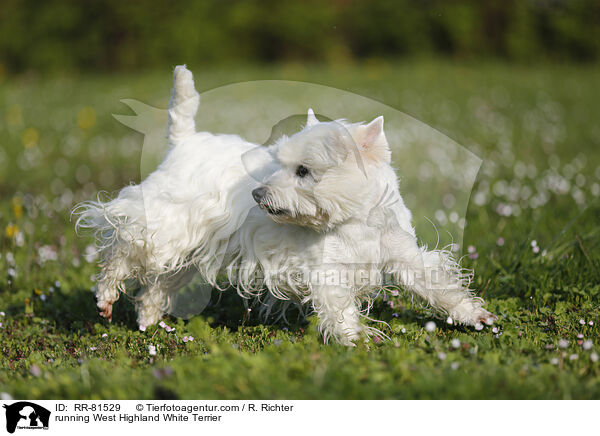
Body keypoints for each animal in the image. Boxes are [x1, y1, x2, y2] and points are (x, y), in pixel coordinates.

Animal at [74, 65, 496, 344]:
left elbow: (438, 284)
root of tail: (184, 142)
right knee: (124, 246)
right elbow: (340, 309)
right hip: (167, 225)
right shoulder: (326, 272)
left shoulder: (402, 256)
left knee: (158, 282)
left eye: (304, 171)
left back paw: (147, 318)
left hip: (193, 249)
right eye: (279, 162)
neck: (353, 221)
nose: (258, 195)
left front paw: (474, 315)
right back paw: (106, 297)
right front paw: (357, 340)